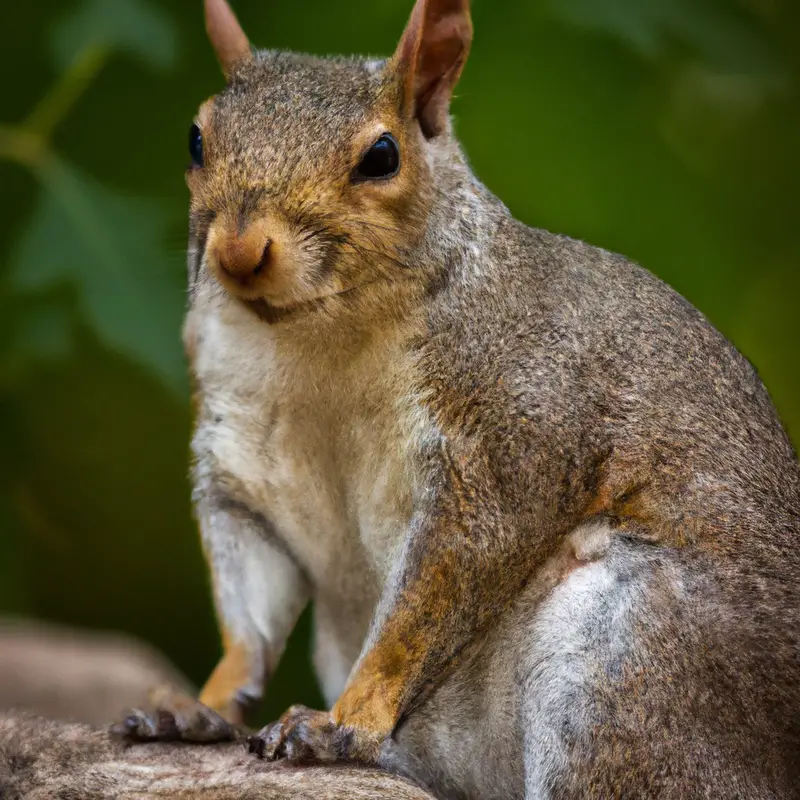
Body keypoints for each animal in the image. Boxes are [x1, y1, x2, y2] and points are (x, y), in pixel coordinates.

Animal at [112, 0, 800, 796]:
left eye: (383, 156)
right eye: (196, 138)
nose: (239, 251)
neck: (318, 338)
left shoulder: (511, 432)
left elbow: (432, 600)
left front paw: (343, 724)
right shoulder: (240, 461)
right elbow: (250, 614)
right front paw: (197, 707)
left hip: (626, 665)